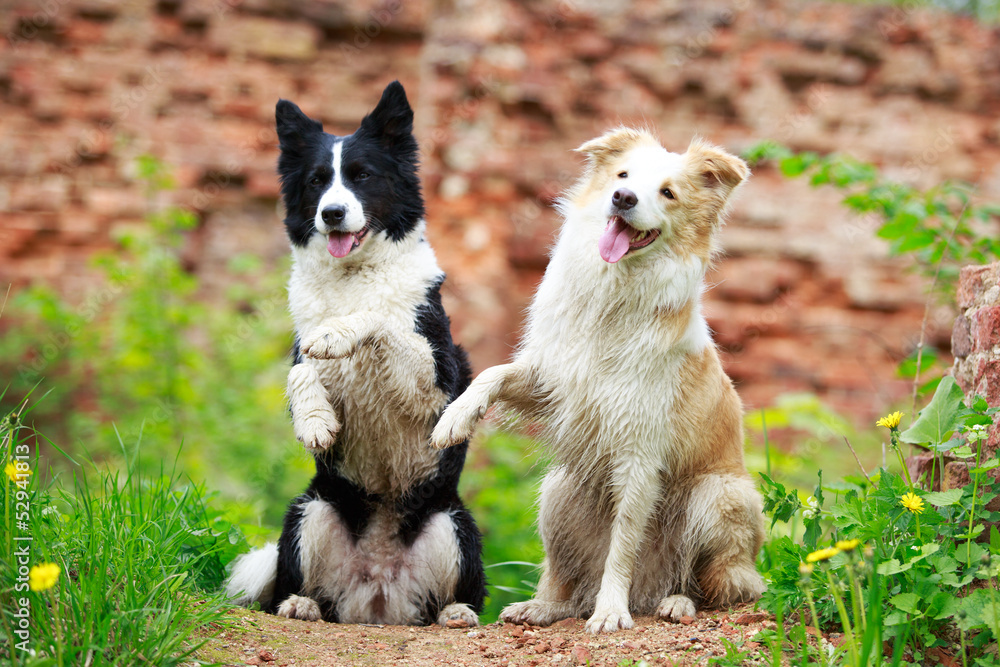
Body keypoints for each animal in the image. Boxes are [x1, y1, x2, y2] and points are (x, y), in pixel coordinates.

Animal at [228, 81, 492, 628]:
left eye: (362, 176)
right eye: (316, 181)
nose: (332, 213)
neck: (353, 276)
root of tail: (378, 597)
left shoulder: (439, 379)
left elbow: (378, 319)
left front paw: (341, 333)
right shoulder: (298, 350)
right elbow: (299, 372)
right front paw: (315, 421)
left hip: (453, 524)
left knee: (459, 597)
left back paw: (456, 613)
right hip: (310, 510)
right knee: (301, 589)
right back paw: (300, 603)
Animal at [430, 128, 764, 636]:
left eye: (668, 193)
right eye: (622, 176)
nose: (623, 198)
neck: (614, 294)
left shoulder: (638, 455)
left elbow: (621, 546)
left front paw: (610, 611)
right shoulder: (554, 379)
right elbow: (494, 373)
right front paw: (456, 418)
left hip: (719, 497)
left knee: (716, 585)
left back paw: (676, 603)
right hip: (558, 492)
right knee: (567, 580)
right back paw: (542, 607)